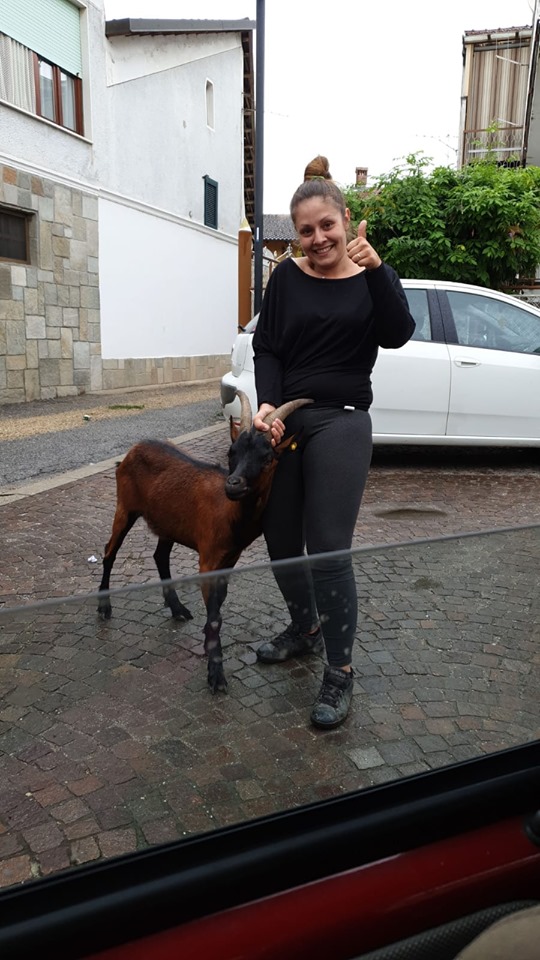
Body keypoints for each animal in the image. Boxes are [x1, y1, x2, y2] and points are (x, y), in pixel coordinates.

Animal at [95, 386, 310, 692]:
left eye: (268, 458)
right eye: (232, 452)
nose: (233, 484)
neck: (232, 514)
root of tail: (131, 452)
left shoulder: (229, 558)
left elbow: (218, 605)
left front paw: (209, 643)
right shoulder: (208, 559)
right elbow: (215, 613)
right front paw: (216, 673)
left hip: (168, 522)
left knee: (159, 556)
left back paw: (177, 608)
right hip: (125, 508)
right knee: (110, 551)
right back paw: (104, 607)